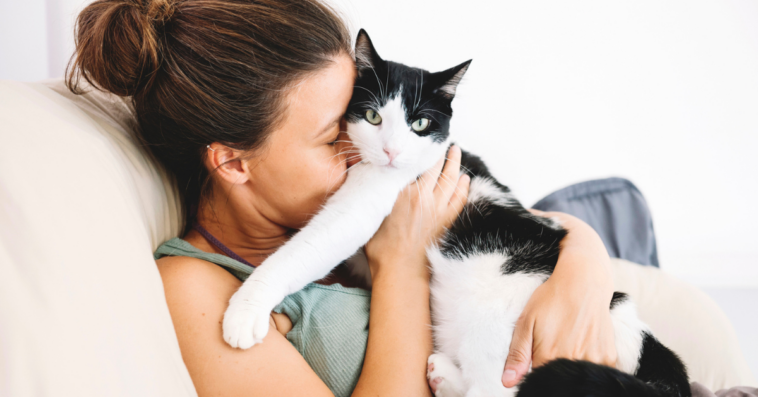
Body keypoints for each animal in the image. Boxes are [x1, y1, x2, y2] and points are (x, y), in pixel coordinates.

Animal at [223, 30, 692, 396]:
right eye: (372, 116)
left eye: (420, 125)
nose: (391, 151)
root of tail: (634, 335)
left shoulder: (363, 206)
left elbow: (303, 250)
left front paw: (244, 310)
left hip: (493, 320)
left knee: (494, 391)